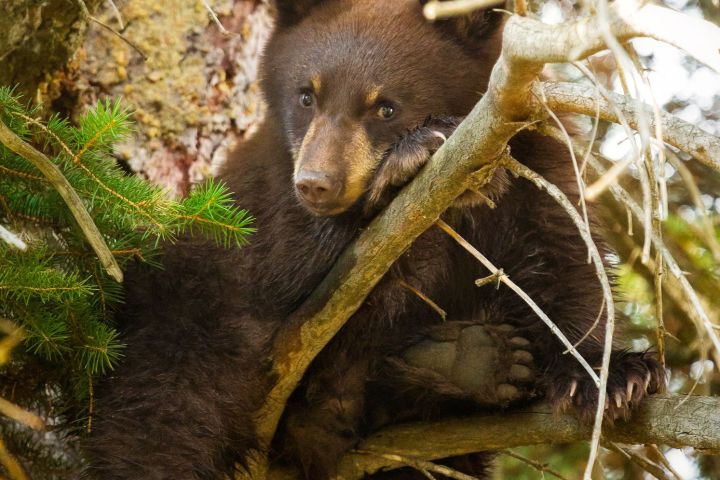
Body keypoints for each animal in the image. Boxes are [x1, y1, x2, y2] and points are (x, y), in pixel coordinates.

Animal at [84, 1, 665, 479]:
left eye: (385, 106)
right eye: (306, 95)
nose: (316, 183)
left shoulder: (531, 156)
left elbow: (565, 255)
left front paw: (611, 374)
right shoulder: (258, 200)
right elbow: (294, 264)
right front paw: (408, 161)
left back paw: (467, 362)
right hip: (180, 318)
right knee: (161, 417)